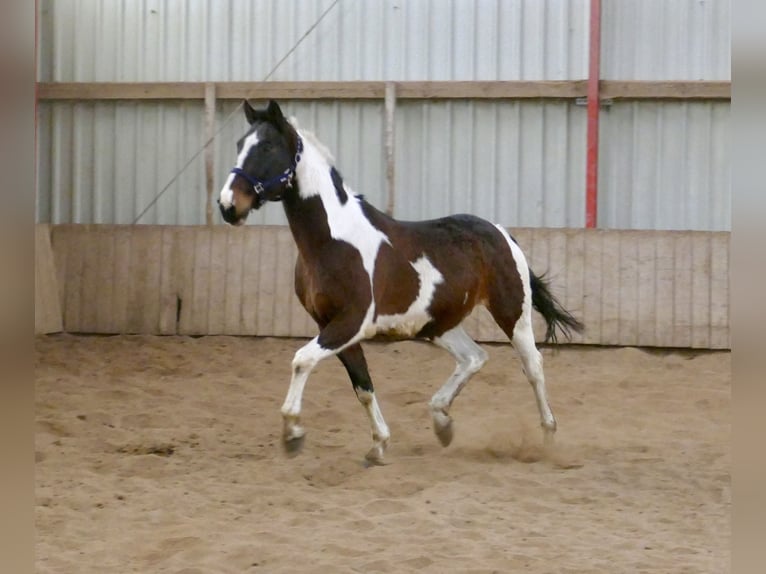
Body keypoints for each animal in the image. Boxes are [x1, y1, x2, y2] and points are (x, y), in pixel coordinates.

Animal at [218, 99, 583, 464]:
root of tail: (502, 233)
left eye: (267, 146)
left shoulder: (350, 322)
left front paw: (292, 434)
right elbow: (363, 386)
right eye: (239, 144)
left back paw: (547, 438)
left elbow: (301, 360)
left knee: (532, 366)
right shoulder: (330, 324)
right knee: (474, 357)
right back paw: (442, 422)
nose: (228, 206)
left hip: (511, 313)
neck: (332, 240)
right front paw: (378, 445)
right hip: (437, 324)